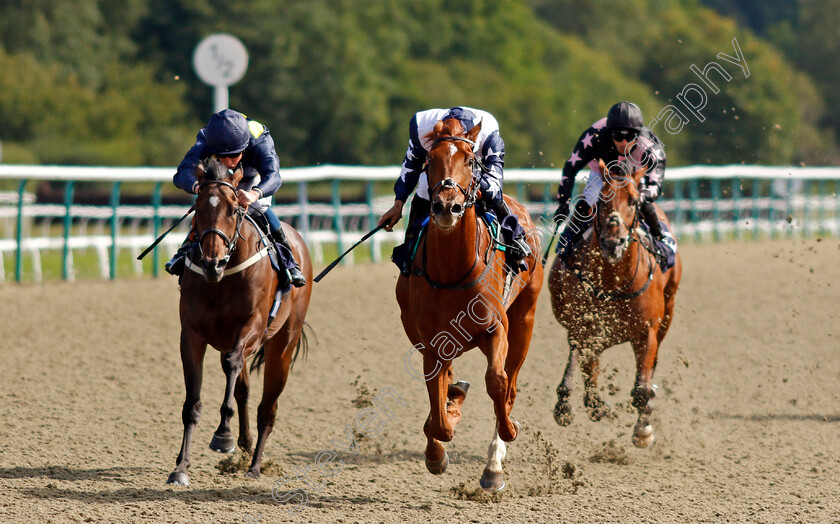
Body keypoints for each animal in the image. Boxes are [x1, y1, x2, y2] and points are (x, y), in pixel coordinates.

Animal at [166, 158, 314, 486]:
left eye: (234, 210)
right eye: (198, 209)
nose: (213, 263)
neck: (222, 280)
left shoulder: (253, 326)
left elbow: (233, 364)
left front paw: (222, 435)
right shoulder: (191, 334)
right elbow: (192, 403)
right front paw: (181, 467)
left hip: (283, 344)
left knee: (267, 408)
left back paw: (255, 465)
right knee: (243, 390)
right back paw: (245, 446)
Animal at [398, 117, 548, 492]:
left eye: (469, 159)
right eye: (429, 160)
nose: (446, 206)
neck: (452, 271)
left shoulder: (496, 329)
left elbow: (496, 382)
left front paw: (508, 433)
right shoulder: (432, 344)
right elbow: (437, 410)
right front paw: (437, 447)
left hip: (524, 320)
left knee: (510, 384)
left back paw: (494, 465)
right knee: (449, 384)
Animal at [552, 160, 684, 446]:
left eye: (634, 200)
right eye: (602, 199)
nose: (613, 242)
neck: (613, 281)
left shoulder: (647, 331)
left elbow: (642, 388)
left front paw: (644, 429)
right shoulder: (582, 326)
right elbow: (580, 370)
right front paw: (572, 405)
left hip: (668, 313)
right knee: (588, 365)